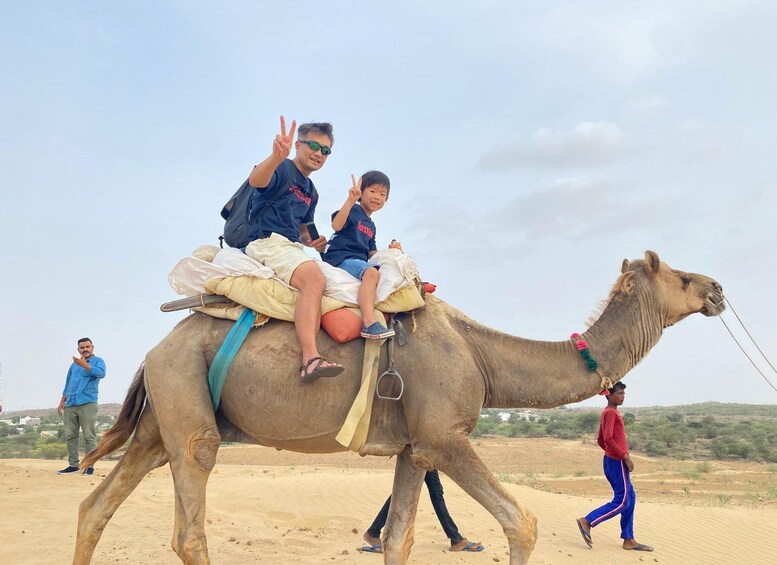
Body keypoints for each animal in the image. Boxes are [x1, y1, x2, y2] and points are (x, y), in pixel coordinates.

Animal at [74, 251, 724, 564]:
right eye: (681, 277)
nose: (718, 288)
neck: (481, 354)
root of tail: (154, 350)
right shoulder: (445, 436)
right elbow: (522, 521)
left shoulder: (415, 447)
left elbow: (398, 541)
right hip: (185, 398)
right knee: (190, 516)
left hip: (161, 417)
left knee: (95, 506)